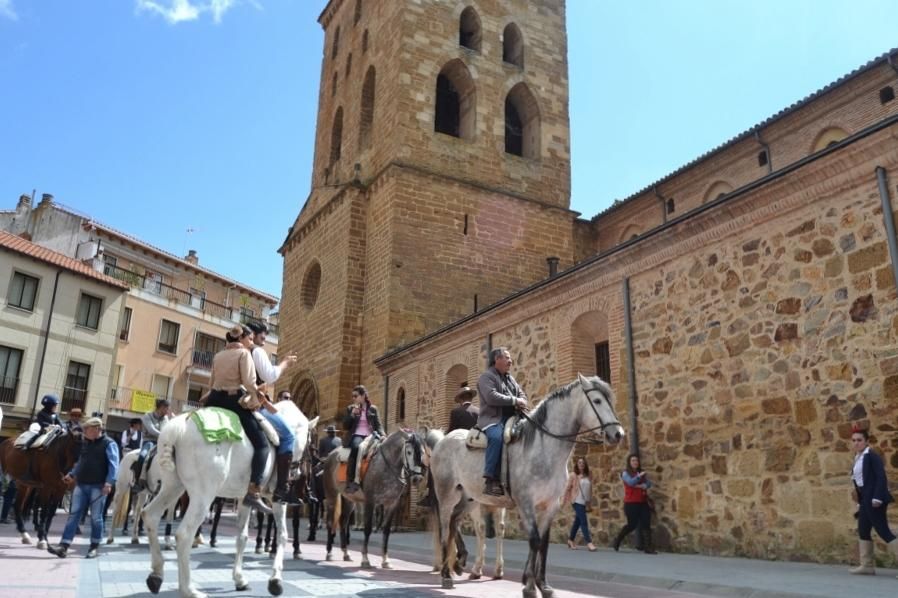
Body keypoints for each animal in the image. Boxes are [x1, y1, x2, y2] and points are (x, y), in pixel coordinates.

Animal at [142, 404, 316, 598]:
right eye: (310, 443)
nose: (299, 474)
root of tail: (180, 426)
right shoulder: (278, 500)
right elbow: (283, 535)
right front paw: (275, 580)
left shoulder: (244, 498)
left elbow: (242, 537)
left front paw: (240, 579)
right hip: (203, 496)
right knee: (184, 534)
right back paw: (189, 589)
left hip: (172, 486)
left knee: (150, 515)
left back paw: (156, 574)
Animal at [322, 428, 428, 568]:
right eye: (409, 452)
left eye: (422, 452)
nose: (417, 478)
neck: (386, 465)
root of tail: (331, 455)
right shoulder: (370, 502)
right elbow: (367, 529)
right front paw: (365, 559)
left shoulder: (391, 504)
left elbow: (386, 531)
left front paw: (385, 560)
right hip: (332, 496)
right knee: (330, 522)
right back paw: (329, 553)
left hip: (350, 500)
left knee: (343, 522)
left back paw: (346, 553)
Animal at [430, 376, 620, 598]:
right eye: (597, 401)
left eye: (611, 400)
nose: (618, 433)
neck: (543, 449)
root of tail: (444, 440)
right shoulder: (526, 503)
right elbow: (534, 540)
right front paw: (529, 586)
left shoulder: (550, 505)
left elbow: (543, 544)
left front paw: (543, 585)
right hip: (447, 495)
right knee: (445, 527)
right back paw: (446, 574)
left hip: (470, 498)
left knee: (454, 523)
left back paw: (457, 564)